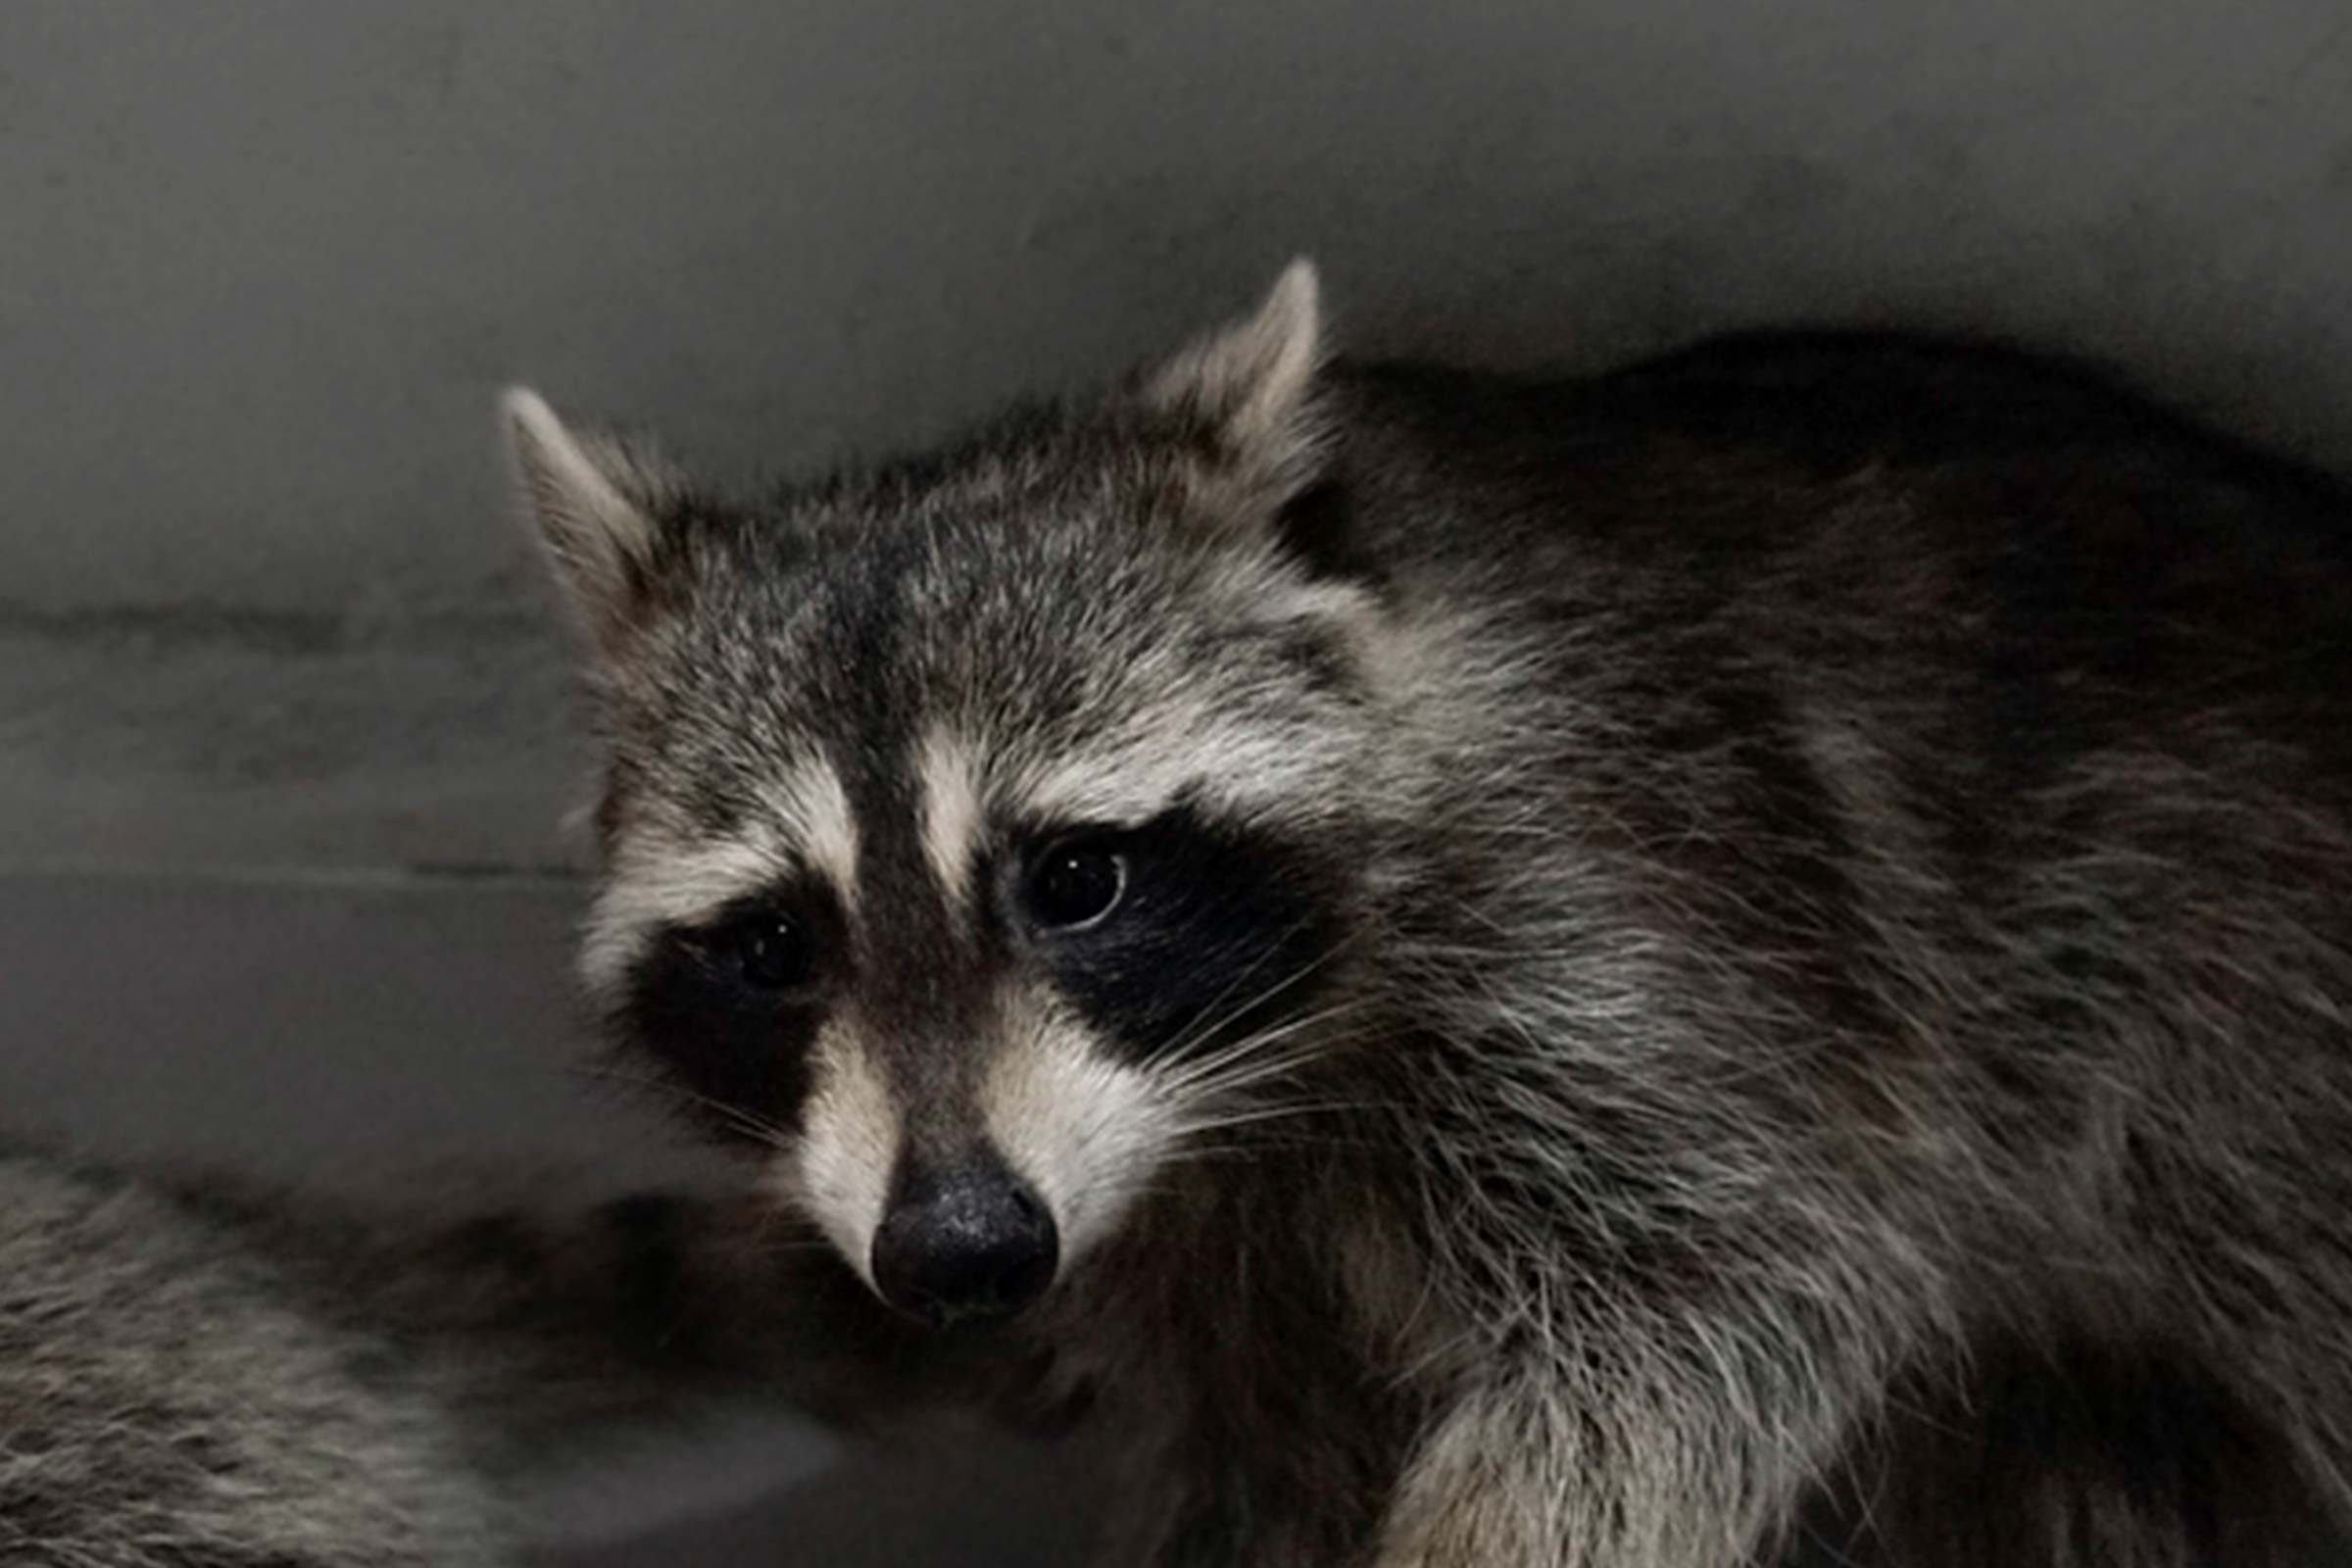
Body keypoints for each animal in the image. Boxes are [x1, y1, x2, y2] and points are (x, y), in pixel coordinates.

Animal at [503, 261, 2352, 1566]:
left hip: (2235, 1009)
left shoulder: (1647, 924)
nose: (960, 1252)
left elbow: (1718, 1306)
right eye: (775, 948)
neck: (1233, 1111)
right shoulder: (1182, 1259)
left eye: (1076, 880)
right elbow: (1261, 1464)